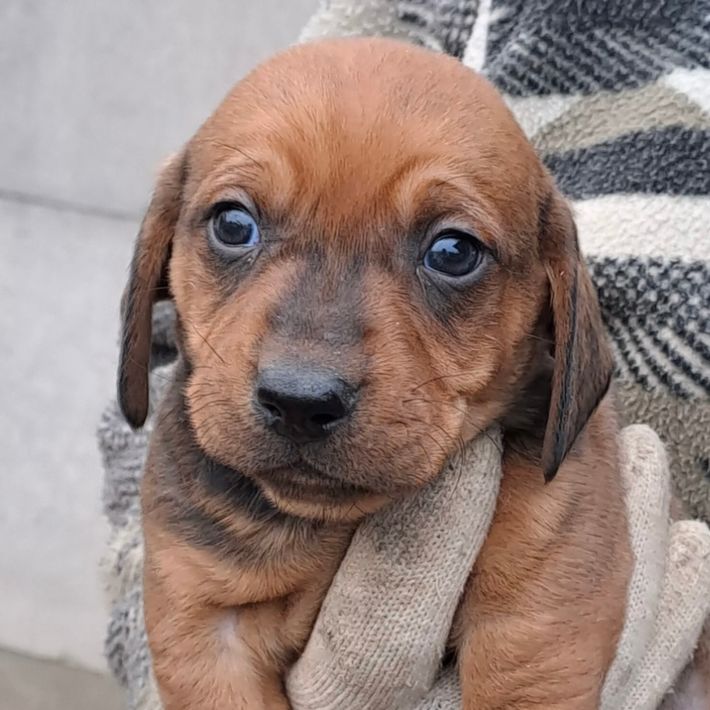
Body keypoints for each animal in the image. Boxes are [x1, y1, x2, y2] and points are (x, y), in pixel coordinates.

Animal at [117, 37, 704, 709]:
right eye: (233, 224)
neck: (329, 526)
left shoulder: (538, 616)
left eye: (453, 252)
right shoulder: (205, 631)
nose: (300, 402)